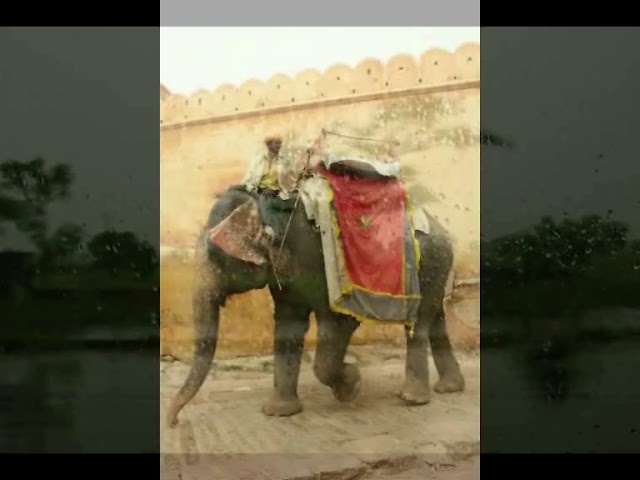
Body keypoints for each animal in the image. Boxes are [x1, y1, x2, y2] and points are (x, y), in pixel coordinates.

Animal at [166, 181, 466, 427]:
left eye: (217, 258)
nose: (173, 421)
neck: (268, 210)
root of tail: (438, 225)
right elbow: (288, 326)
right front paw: (279, 412)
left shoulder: (325, 264)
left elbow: (339, 323)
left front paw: (351, 386)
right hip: (436, 267)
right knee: (436, 320)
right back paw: (449, 388)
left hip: (428, 263)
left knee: (418, 324)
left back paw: (412, 398)